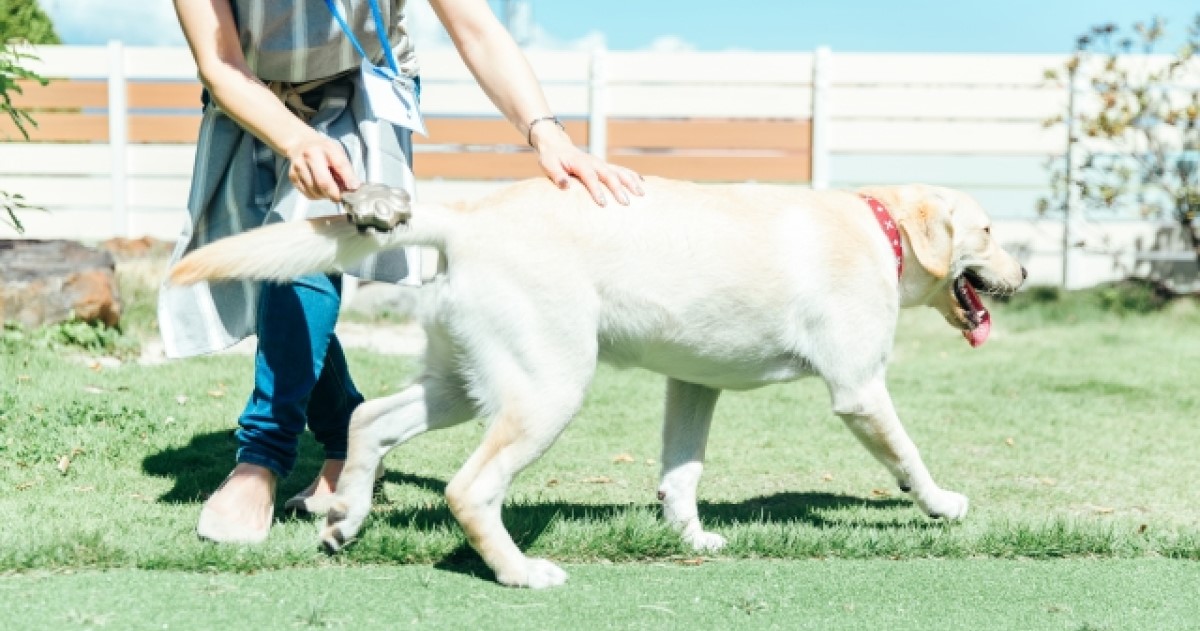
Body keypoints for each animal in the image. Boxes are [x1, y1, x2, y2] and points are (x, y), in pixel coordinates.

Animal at [171, 176, 1032, 587]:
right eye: (990, 231)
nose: (1024, 272)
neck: (882, 232)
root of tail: (467, 218)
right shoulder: (858, 387)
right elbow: (909, 454)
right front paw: (942, 503)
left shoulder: (693, 385)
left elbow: (681, 474)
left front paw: (690, 537)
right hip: (548, 388)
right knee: (468, 489)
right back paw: (518, 572)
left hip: (467, 380)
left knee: (368, 420)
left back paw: (345, 517)